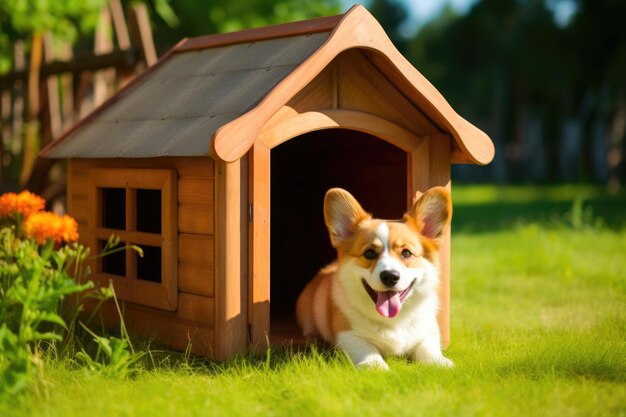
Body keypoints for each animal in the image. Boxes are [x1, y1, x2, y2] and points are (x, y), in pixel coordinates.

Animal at [294, 187, 450, 368]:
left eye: (406, 253)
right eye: (369, 253)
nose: (390, 276)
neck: (394, 320)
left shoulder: (428, 334)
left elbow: (428, 350)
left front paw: (442, 363)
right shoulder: (349, 335)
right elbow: (369, 351)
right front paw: (377, 367)